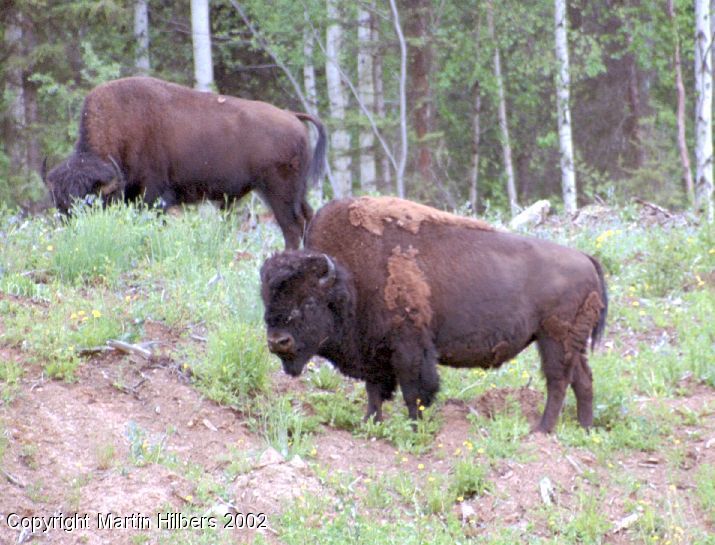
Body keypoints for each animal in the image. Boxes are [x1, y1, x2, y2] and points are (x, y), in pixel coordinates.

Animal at [42, 76, 326, 249]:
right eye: (59, 203)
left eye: (89, 203)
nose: (73, 233)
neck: (122, 128)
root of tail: (292, 116)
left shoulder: (153, 197)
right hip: (296, 192)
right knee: (308, 218)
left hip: (278, 192)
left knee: (292, 227)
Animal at [261, 196, 608, 433]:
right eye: (266, 299)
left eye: (308, 301)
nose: (278, 341)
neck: (349, 279)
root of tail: (586, 259)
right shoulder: (374, 350)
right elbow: (374, 390)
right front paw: (371, 423)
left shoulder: (409, 348)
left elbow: (414, 391)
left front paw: (415, 427)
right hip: (569, 344)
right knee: (583, 379)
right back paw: (585, 428)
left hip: (554, 339)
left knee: (558, 381)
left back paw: (542, 430)